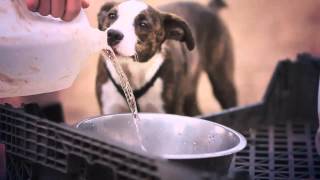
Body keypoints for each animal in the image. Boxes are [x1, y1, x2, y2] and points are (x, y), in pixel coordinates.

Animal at [96, 0, 236, 116]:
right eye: (111, 16)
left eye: (143, 24)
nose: (113, 34)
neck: (132, 70)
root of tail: (210, 8)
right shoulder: (109, 108)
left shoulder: (169, 110)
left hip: (223, 83)